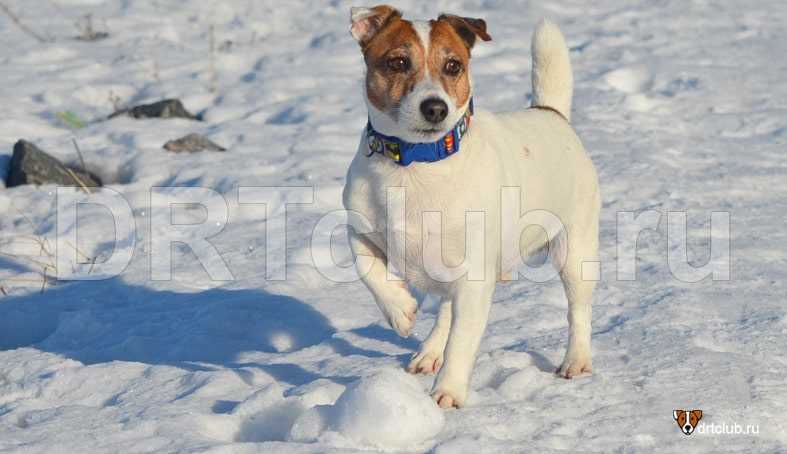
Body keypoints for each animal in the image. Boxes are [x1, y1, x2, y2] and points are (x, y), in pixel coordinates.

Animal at [342, 3, 600, 408]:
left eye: (453, 66)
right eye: (398, 62)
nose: (435, 107)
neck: (415, 165)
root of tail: (550, 112)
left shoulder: (475, 280)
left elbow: (462, 342)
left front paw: (447, 393)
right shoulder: (359, 227)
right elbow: (368, 270)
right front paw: (401, 311)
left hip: (574, 250)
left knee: (579, 311)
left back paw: (576, 361)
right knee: (446, 312)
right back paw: (428, 351)